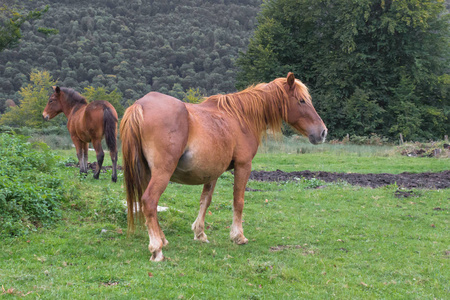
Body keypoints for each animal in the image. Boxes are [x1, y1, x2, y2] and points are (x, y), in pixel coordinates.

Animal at [119, 72, 326, 260]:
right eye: (301, 101)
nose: (323, 132)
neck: (241, 117)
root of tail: (140, 105)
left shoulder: (212, 173)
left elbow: (205, 200)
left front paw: (200, 233)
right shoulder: (243, 165)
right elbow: (238, 201)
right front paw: (238, 236)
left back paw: (163, 239)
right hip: (162, 173)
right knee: (149, 201)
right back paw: (157, 249)